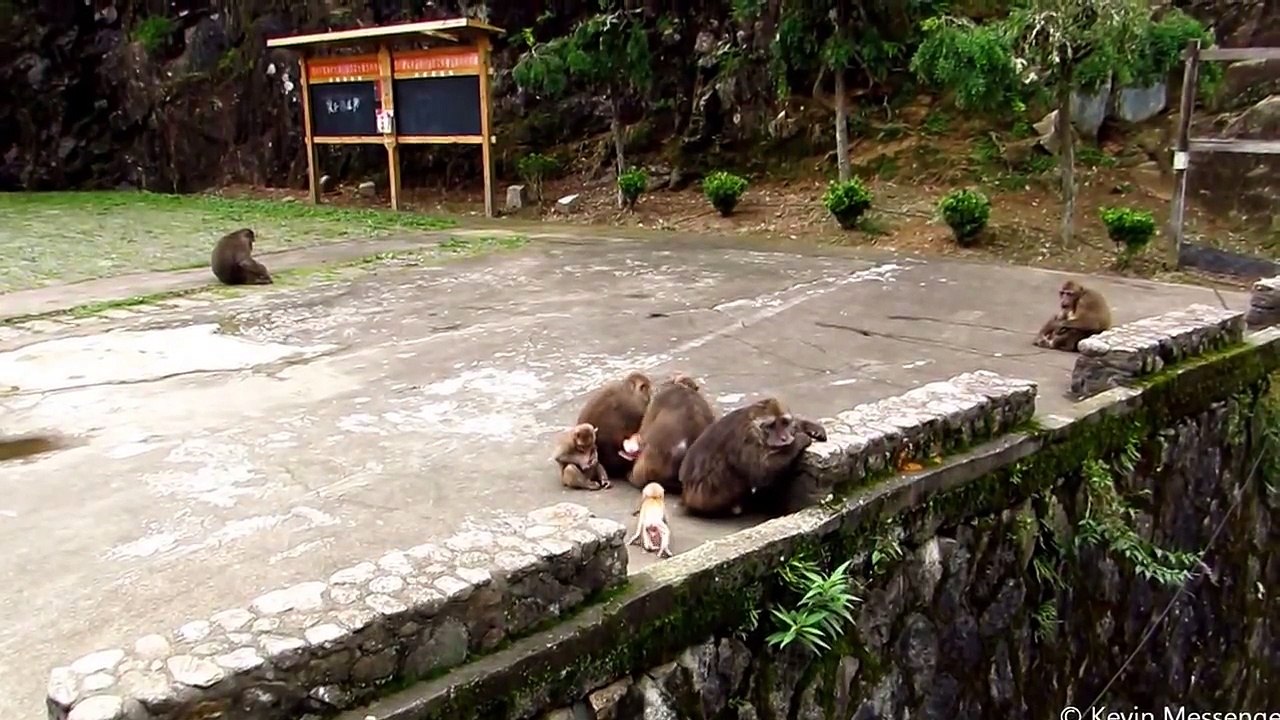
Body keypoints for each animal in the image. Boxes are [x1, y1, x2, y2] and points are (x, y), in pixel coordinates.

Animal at [679, 397, 828, 518]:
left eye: (784, 423)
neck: (755, 427)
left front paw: (807, 426)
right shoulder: (746, 439)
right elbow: (762, 471)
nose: (784, 438)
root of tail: (685, 494)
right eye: (771, 426)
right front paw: (799, 440)